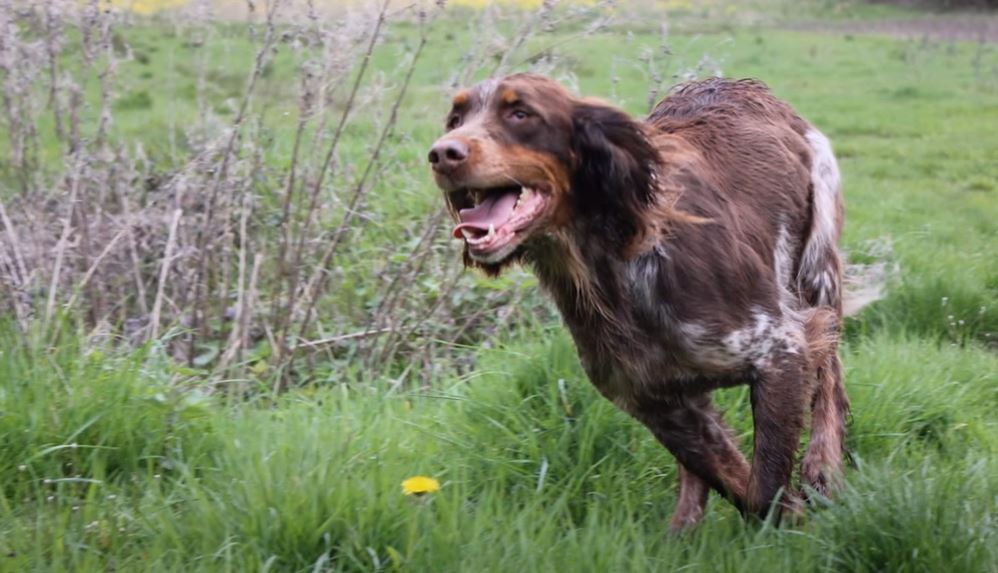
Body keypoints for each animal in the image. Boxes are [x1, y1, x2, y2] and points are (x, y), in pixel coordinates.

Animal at [426, 75, 848, 528]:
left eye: (520, 113)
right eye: (456, 118)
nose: (442, 154)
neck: (614, 272)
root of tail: (742, 84)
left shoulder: (779, 351)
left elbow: (765, 488)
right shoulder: (651, 402)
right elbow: (734, 482)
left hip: (817, 267)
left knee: (831, 376)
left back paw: (824, 469)